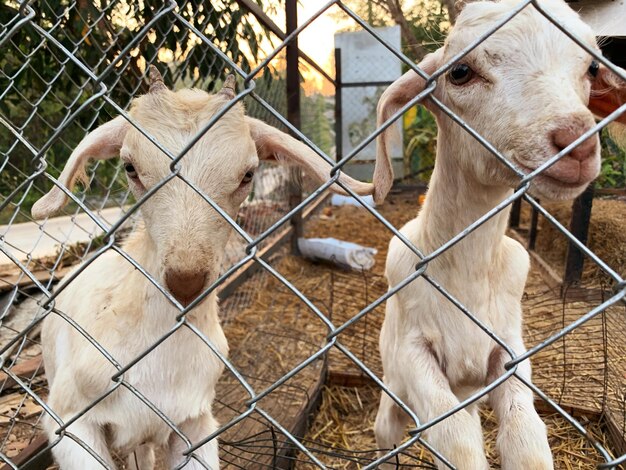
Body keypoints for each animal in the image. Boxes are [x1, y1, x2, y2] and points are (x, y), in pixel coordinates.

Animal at [370, 0, 624, 468]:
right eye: (460, 72)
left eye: (592, 67)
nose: (576, 144)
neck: (464, 272)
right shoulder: (413, 351)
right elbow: (455, 439)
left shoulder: (508, 352)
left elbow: (526, 438)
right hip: (392, 394)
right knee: (387, 434)